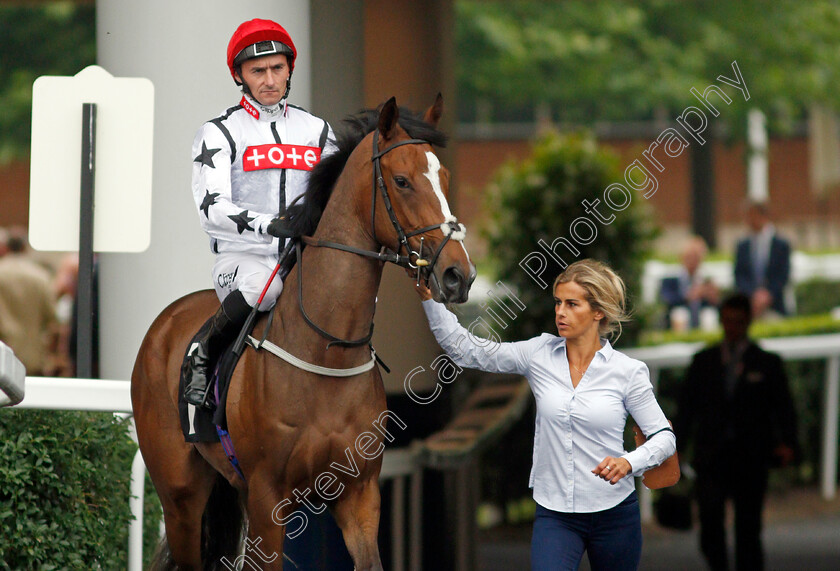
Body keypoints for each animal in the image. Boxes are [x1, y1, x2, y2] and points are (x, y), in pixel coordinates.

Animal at [130, 96, 472, 568]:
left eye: (445, 177)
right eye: (402, 181)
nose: (459, 275)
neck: (326, 349)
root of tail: (165, 322)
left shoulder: (359, 495)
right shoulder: (267, 498)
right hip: (180, 495)